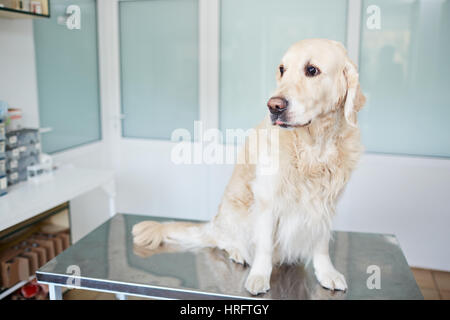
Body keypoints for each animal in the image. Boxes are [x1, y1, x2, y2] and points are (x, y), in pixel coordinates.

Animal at [133, 38, 366, 296]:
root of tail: (213, 224)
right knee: (225, 241)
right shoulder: (266, 199)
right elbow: (263, 245)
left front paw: (327, 273)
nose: (274, 106)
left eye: (312, 70)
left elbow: (321, 244)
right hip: (237, 213)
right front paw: (258, 276)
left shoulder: (326, 204)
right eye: (282, 70)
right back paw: (237, 252)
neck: (314, 146)